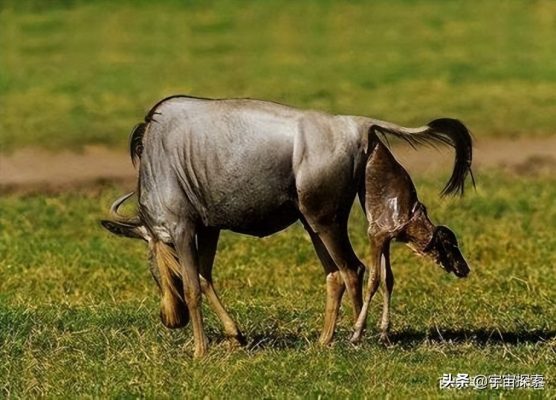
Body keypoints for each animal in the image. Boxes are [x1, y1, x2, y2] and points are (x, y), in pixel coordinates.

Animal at [352, 141, 470, 344]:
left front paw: (384, 333)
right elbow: (373, 280)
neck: (410, 216)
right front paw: (357, 332)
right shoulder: (375, 236)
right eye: (450, 245)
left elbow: (388, 279)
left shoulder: (386, 241)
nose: (465, 268)